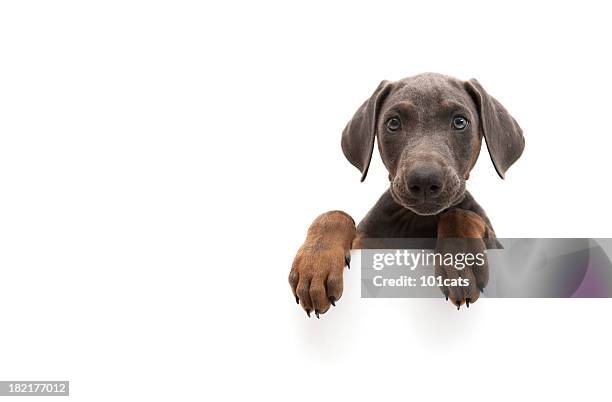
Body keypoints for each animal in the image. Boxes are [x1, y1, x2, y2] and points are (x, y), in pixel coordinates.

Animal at [290, 73, 524, 318]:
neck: (418, 220)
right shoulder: (366, 243)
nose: (424, 180)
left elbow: (460, 214)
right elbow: (335, 214)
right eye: (393, 123)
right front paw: (315, 264)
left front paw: (461, 260)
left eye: (460, 122)